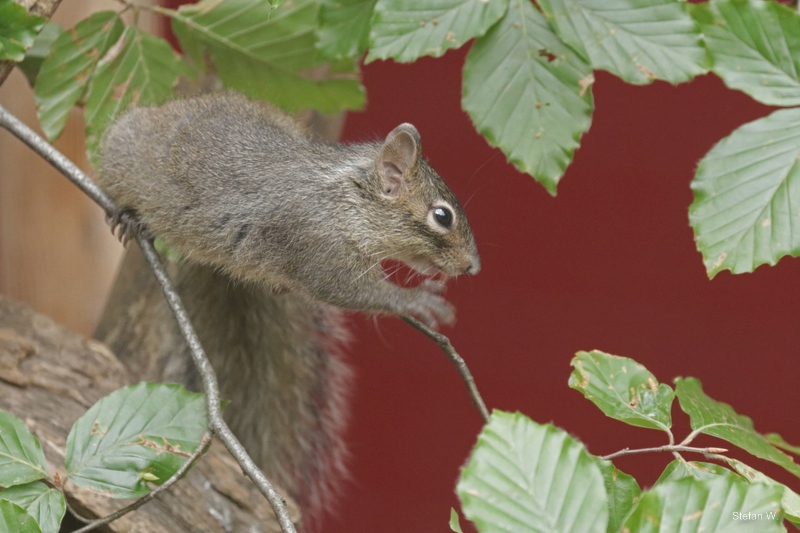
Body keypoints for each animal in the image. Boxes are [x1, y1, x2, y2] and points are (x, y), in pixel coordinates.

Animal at [96, 92, 480, 528]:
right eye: (442, 216)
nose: (473, 266)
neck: (347, 201)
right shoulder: (317, 247)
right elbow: (356, 290)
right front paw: (413, 299)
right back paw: (129, 216)